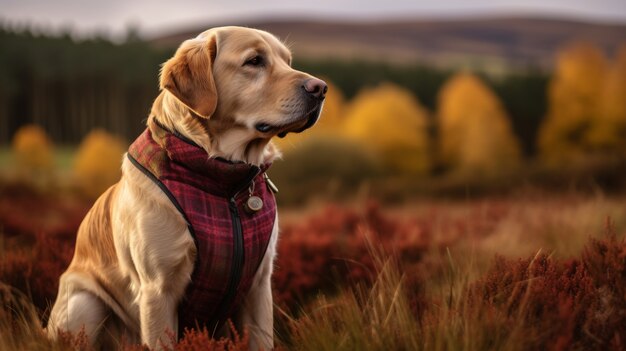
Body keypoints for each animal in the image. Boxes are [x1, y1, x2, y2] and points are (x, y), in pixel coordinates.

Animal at [47, 26, 326, 350]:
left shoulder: (259, 284)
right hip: (84, 303)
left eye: (288, 61)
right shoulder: (158, 290)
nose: (321, 88)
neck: (225, 183)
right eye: (254, 61)